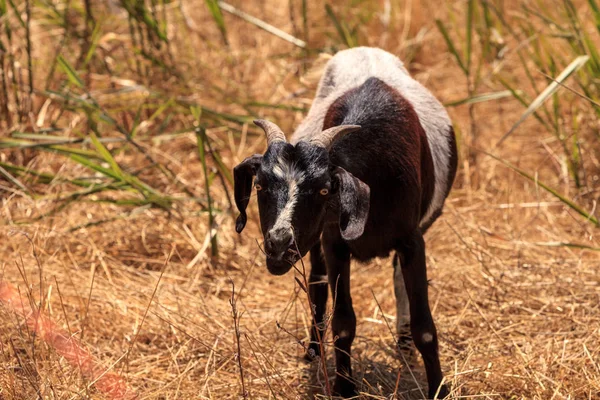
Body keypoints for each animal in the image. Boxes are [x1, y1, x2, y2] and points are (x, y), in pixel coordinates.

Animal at [234, 47, 460, 396]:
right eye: (259, 186)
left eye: (325, 189)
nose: (279, 244)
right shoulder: (333, 243)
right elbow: (343, 323)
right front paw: (344, 387)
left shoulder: (412, 240)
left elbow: (425, 327)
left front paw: (438, 388)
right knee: (317, 282)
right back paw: (313, 351)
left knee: (395, 279)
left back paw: (403, 343)